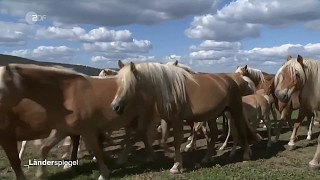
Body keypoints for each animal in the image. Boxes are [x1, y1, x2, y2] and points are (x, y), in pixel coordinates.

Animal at [0, 64, 156, 179]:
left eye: (1, 88)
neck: (66, 95)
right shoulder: (62, 129)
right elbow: (44, 148)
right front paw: (41, 174)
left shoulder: (88, 130)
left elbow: (97, 151)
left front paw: (103, 174)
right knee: (139, 134)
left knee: (142, 134)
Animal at [110, 62, 260, 174]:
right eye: (118, 84)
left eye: (130, 85)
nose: (115, 107)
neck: (169, 90)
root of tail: (232, 79)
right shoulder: (166, 120)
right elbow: (163, 141)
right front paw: (168, 155)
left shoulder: (177, 120)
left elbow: (177, 141)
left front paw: (176, 166)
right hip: (212, 115)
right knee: (213, 134)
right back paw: (207, 158)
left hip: (235, 109)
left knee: (240, 127)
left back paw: (246, 154)